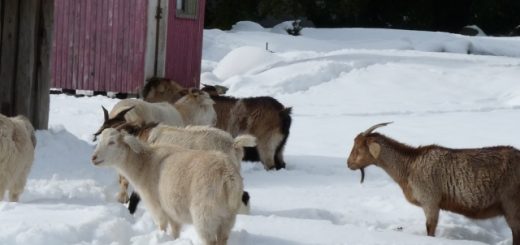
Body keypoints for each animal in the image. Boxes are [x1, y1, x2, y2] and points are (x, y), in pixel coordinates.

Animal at [92, 128, 244, 245]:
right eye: (99, 141)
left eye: (112, 142)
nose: (93, 158)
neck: (143, 164)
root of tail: (228, 174)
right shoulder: (172, 211)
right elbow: (175, 231)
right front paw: (173, 240)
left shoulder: (157, 207)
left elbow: (162, 227)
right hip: (227, 218)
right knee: (223, 239)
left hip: (205, 215)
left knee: (210, 241)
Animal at [346, 122, 520, 243]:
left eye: (359, 148)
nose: (348, 164)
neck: (409, 165)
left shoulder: (430, 200)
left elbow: (430, 229)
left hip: (511, 202)